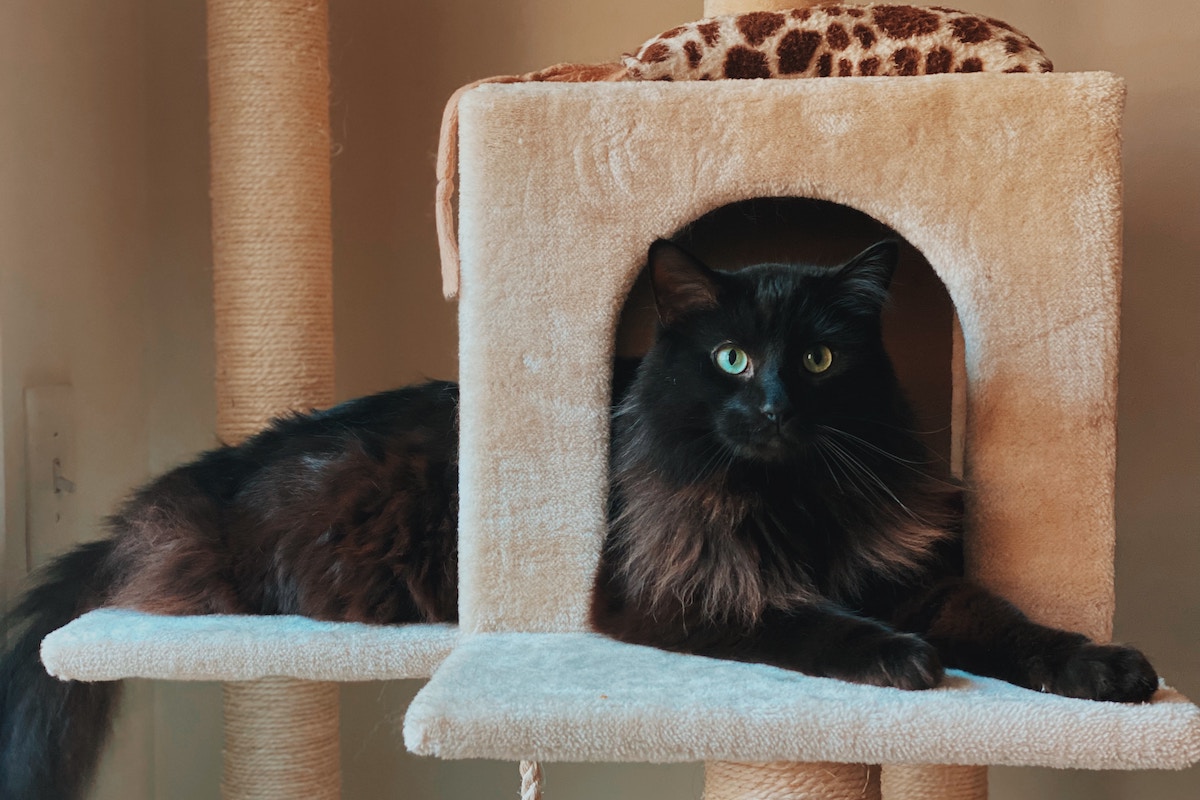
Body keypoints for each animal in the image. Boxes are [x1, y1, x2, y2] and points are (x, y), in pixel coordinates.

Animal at [0, 239, 1161, 800]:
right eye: (731, 357)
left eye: (822, 357)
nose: (774, 406)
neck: (791, 501)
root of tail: (198, 481)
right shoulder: (682, 589)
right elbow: (813, 623)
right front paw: (897, 660)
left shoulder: (910, 574)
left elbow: (1015, 627)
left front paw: (1107, 670)